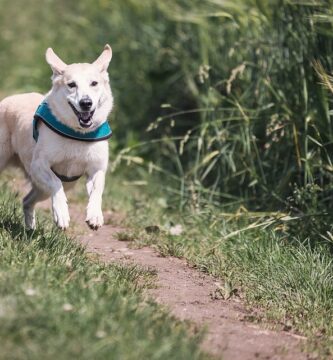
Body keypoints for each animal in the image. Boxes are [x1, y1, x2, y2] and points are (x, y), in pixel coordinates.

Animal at [0, 45, 113, 231]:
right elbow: (55, 182)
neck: (77, 134)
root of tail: (7, 100)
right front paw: (61, 213)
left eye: (94, 83)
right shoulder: (39, 165)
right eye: (71, 85)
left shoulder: (96, 169)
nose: (86, 103)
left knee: (27, 200)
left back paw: (30, 229)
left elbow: (97, 190)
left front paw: (95, 215)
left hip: (46, 188)